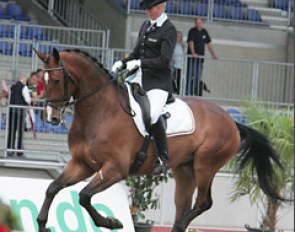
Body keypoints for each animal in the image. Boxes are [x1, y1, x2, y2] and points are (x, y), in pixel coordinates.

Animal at [34, 48, 284, 231]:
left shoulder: (115, 169)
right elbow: (52, 188)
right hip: (185, 170)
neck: (98, 112)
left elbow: (84, 196)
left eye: (56, 79)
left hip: (205, 165)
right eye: (42, 80)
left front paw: (112, 222)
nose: (51, 118)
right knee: (183, 207)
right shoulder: (82, 164)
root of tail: (231, 121)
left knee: (202, 203)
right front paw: (42, 224)